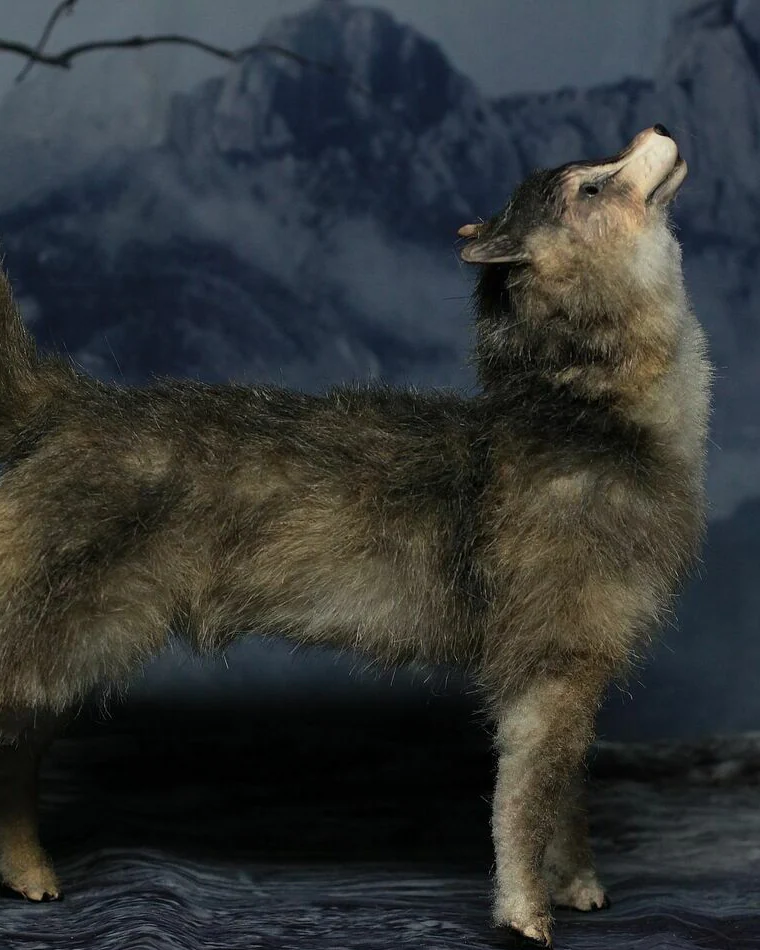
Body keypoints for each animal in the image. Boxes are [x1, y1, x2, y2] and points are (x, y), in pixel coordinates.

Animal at [0, 125, 708, 946]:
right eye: (592, 185)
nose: (657, 131)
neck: (593, 422)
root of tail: (67, 405)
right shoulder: (551, 658)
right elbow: (525, 800)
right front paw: (526, 914)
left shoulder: (578, 670)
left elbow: (567, 794)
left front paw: (580, 886)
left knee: (18, 758)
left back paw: (28, 873)